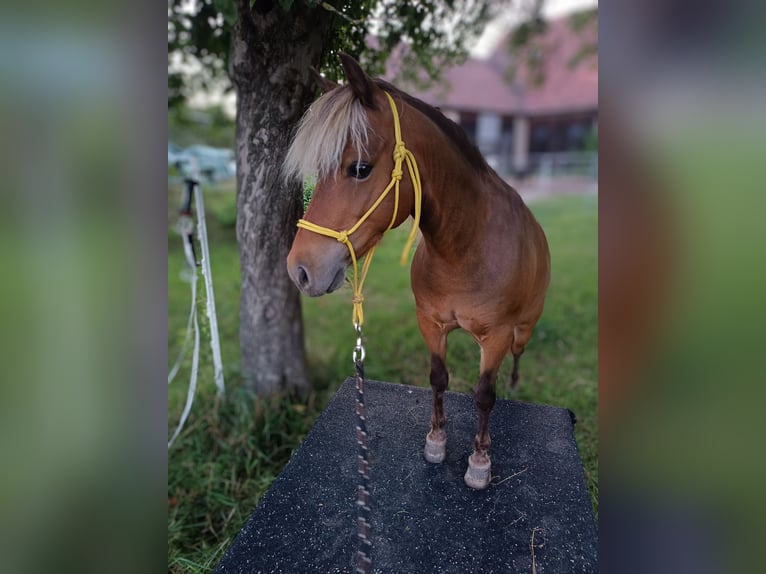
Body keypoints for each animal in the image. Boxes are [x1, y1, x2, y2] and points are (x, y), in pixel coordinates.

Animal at [284, 55, 548, 490]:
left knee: (517, 356)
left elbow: (484, 395)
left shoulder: (496, 336)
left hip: (523, 329)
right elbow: (438, 378)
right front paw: (436, 441)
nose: (300, 271)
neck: (464, 251)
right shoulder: (430, 322)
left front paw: (479, 461)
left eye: (360, 168)